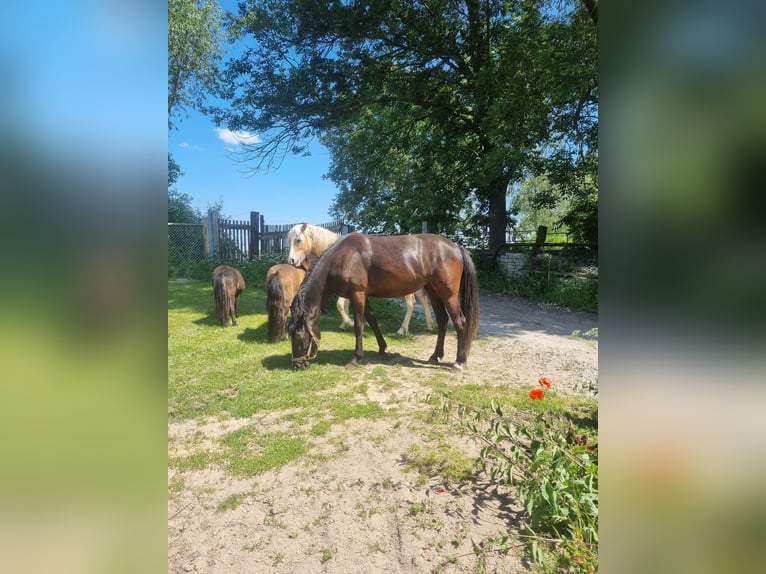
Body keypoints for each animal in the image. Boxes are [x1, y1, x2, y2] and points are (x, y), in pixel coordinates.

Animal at [286, 224, 436, 336]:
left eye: (298, 240)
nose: (291, 261)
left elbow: (339, 305)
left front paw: (349, 322)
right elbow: (344, 305)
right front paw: (345, 323)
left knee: (411, 303)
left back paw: (402, 329)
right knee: (423, 300)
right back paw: (429, 325)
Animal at [288, 235, 480, 374]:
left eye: (299, 336)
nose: (297, 365)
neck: (344, 257)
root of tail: (456, 247)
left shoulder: (357, 295)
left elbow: (359, 326)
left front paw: (355, 358)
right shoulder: (364, 296)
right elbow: (373, 321)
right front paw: (382, 348)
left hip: (449, 295)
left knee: (460, 322)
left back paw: (459, 362)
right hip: (434, 292)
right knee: (442, 321)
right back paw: (435, 356)